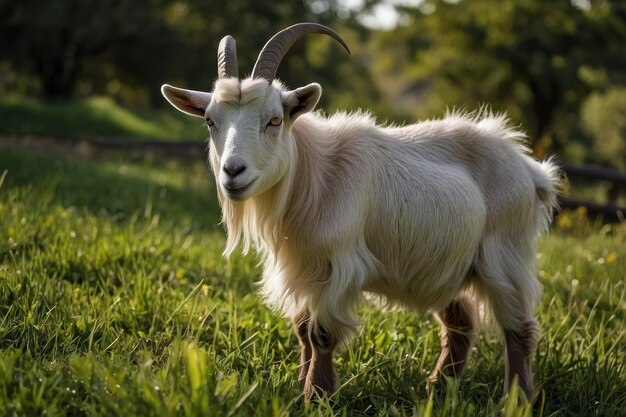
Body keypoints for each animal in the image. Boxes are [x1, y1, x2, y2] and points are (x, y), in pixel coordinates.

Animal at [160, 22, 556, 400]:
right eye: (210, 121)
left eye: (274, 120)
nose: (233, 171)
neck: (316, 175)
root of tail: (528, 168)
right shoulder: (304, 266)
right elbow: (302, 329)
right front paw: (301, 385)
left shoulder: (340, 265)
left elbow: (320, 334)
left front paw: (317, 395)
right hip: (448, 263)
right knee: (461, 323)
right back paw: (439, 387)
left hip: (504, 254)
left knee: (520, 328)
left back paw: (516, 397)